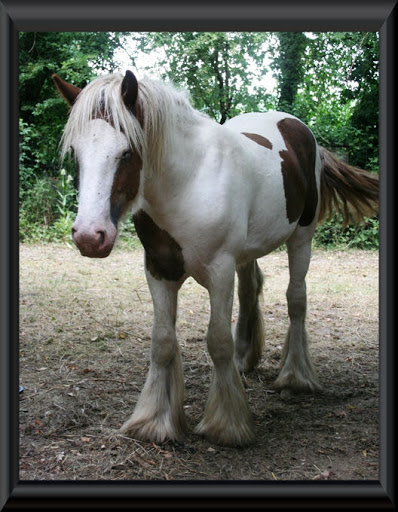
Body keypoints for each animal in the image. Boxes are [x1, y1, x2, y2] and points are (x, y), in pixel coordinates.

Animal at [53, 70, 380, 446]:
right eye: (76, 154)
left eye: (126, 153)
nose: (89, 236)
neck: (187, 183)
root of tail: (299, 129)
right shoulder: (158, 270)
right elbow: (162, 341)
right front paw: (154, 421)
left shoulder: (219, 270)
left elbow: (218, 340)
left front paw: (227, 425)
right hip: (247, 252)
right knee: (251, 290)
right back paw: (245, 359)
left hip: (301, 237)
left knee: (296, 300)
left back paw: (296, 376)